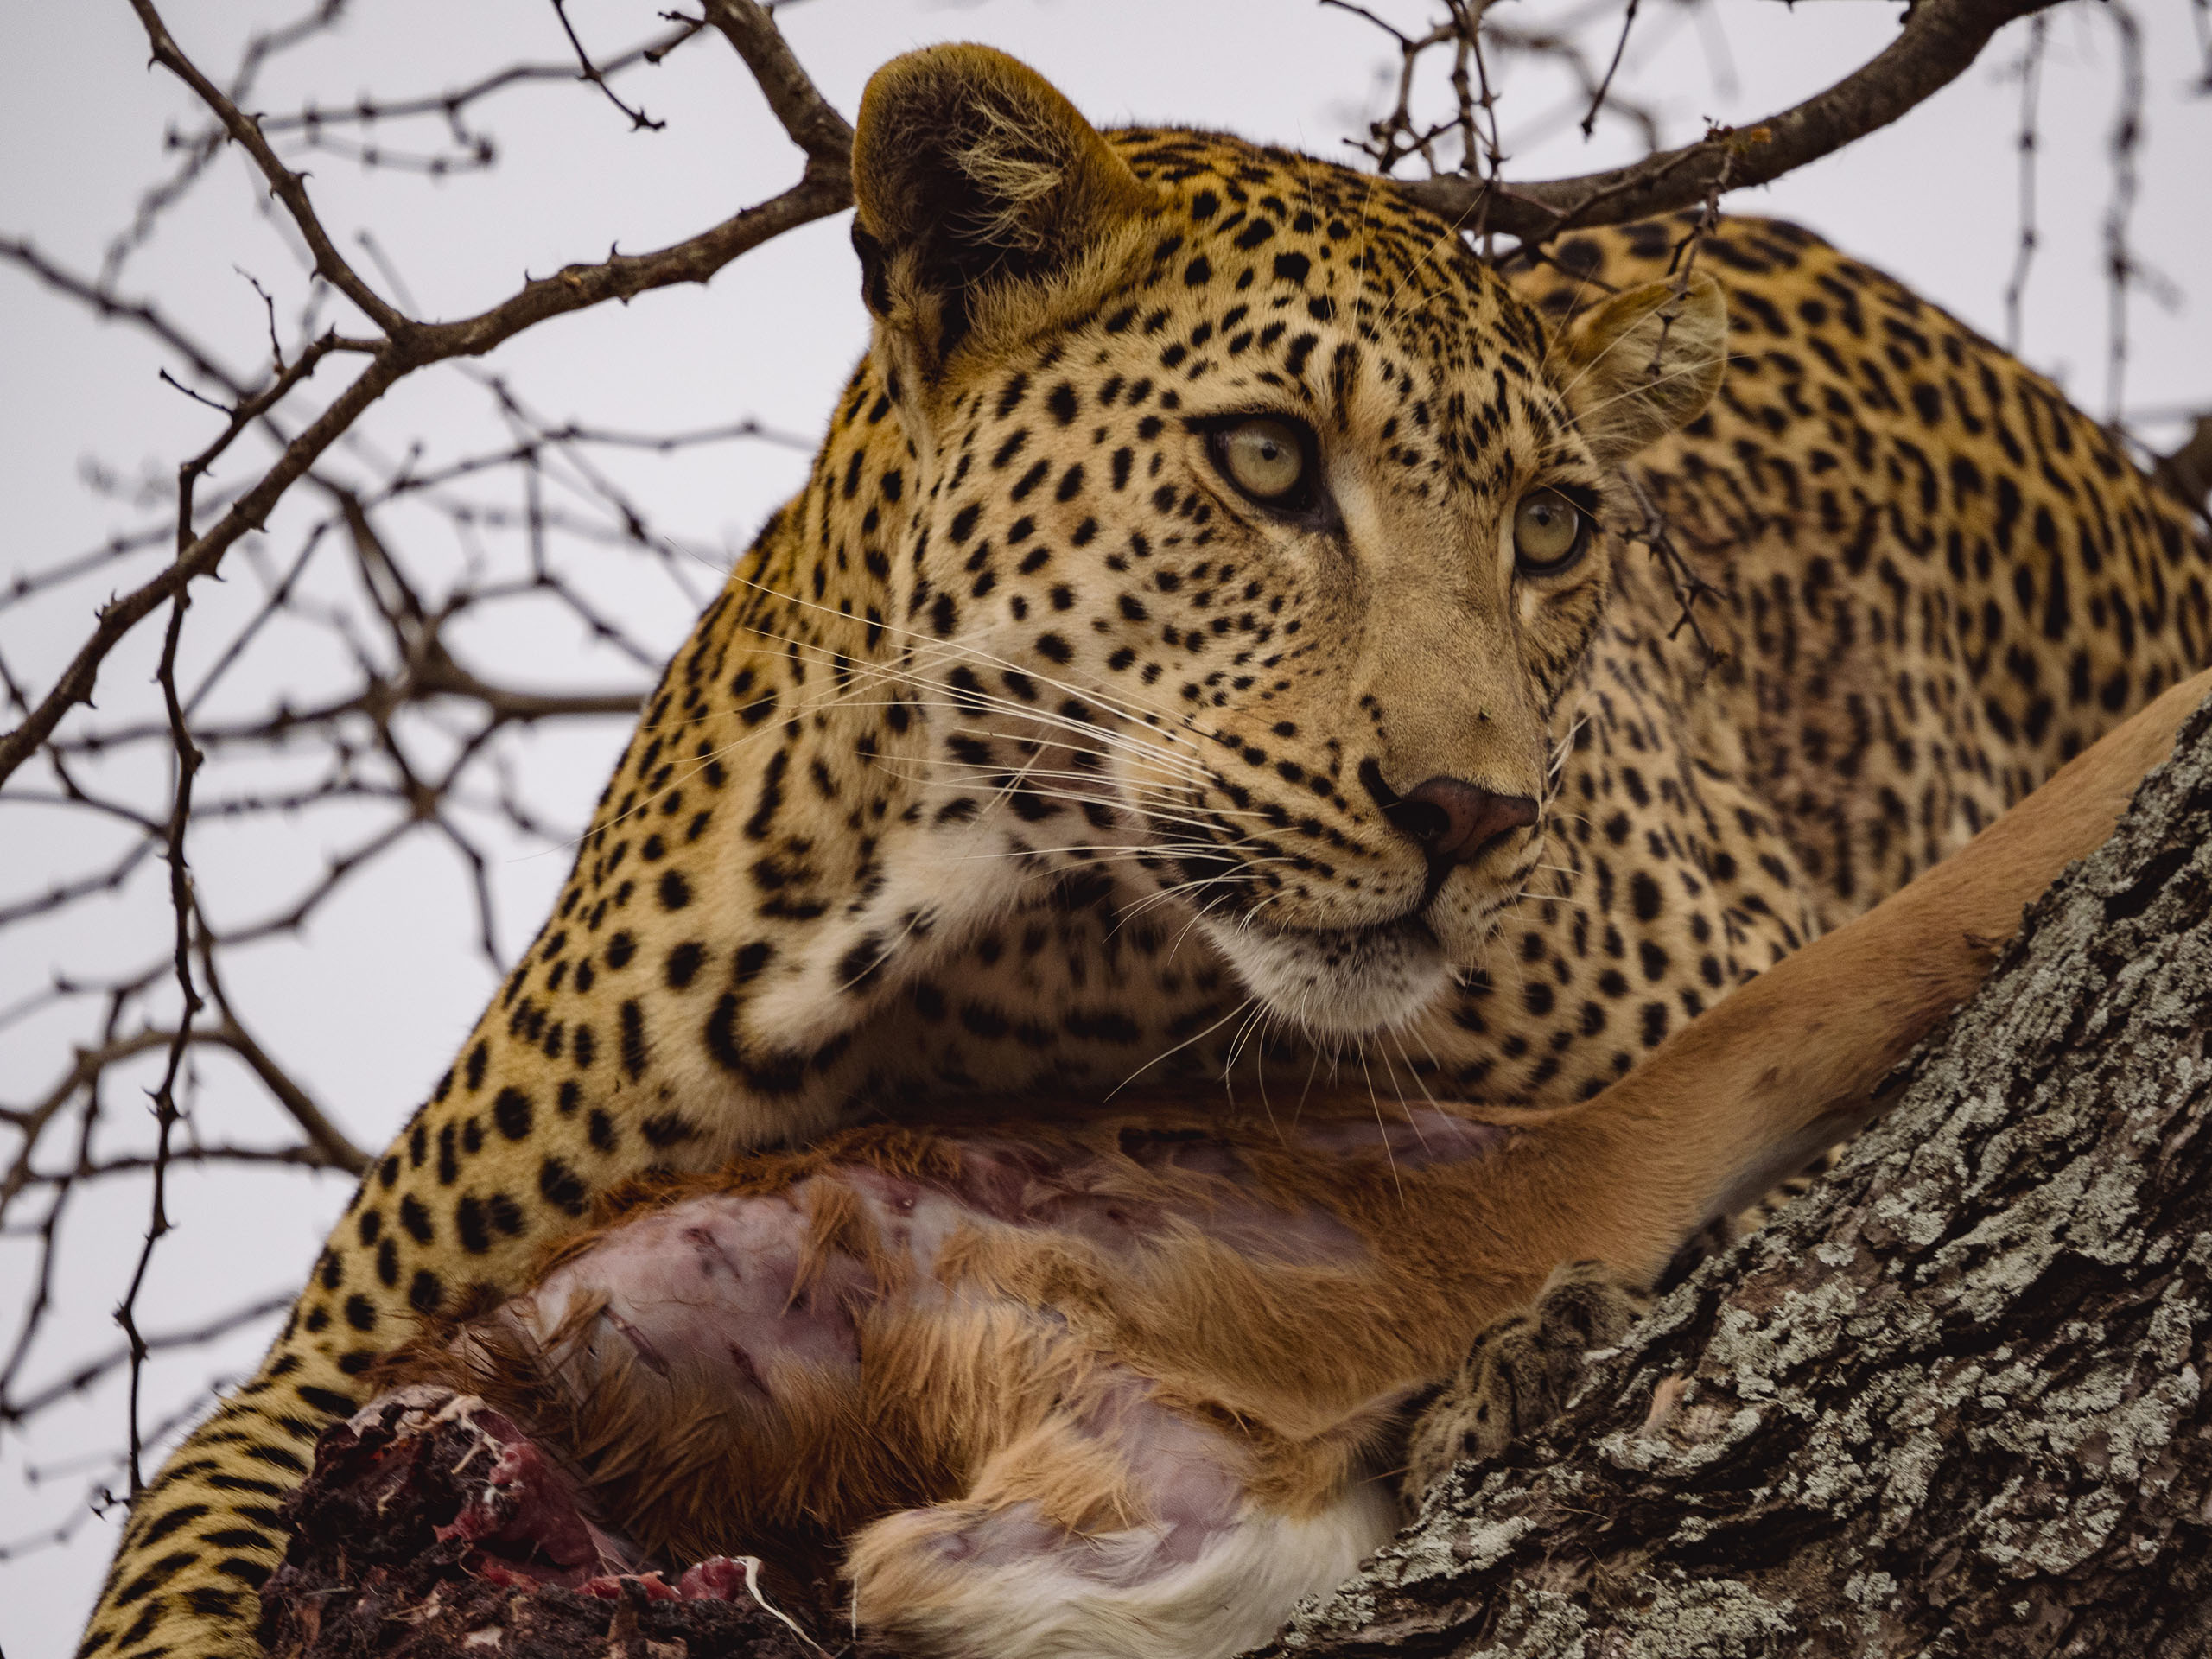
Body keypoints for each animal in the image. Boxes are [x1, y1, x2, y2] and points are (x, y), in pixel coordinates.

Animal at [78, 41, 2211, 1659]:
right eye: (1264, 460)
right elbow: (182, 1563)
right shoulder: (338, 1345)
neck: (1049, 944)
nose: (1472, 815)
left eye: (1551, 525)